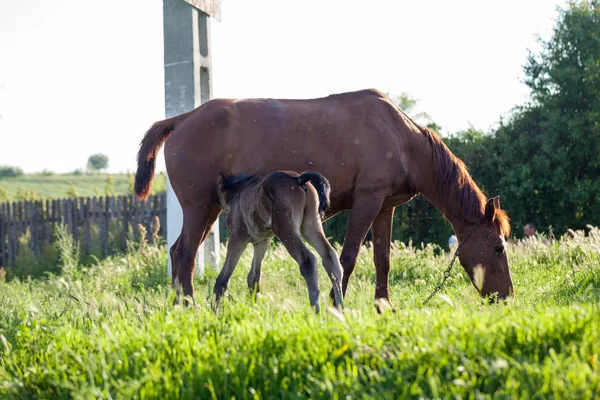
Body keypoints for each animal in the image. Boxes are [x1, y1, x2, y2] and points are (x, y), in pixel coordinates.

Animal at [213, 170, 344, 312]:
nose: (218, 203)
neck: (238, 192)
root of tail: (298, 179)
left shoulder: (238, 237)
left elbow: (224, 277)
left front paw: (215, 310)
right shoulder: (261, 241)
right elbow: (254, 277)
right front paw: (254, 310)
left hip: (285, 229)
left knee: (308, 260)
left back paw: (316, 310)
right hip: (311, 226)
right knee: (330, 257)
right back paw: (341, 309)